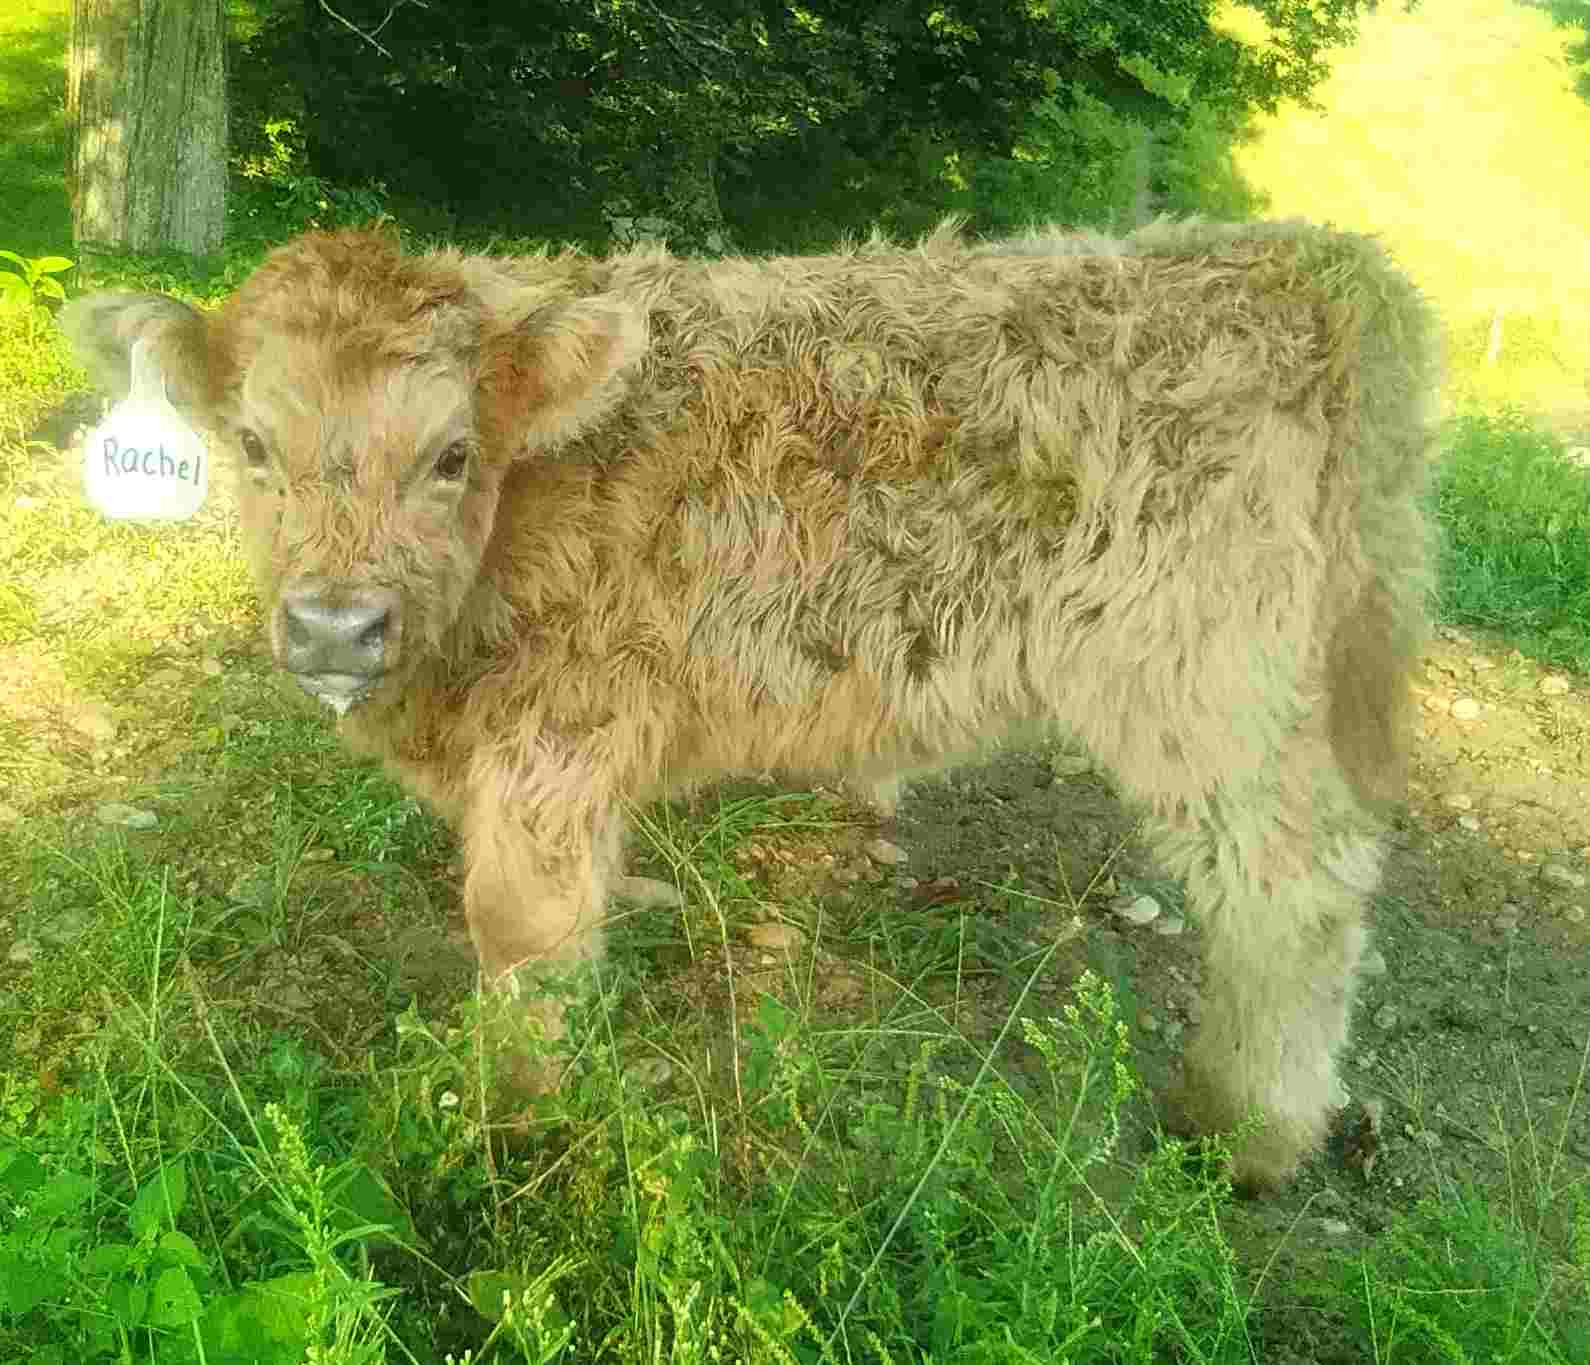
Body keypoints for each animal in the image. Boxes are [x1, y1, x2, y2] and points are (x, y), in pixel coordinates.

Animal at [62, 218, 1439, 1189]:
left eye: (453, 456)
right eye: (250, 446)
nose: (336, 626)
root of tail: (1305, 261)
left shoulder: (550, 748)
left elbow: (521, 935)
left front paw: (514, 1124)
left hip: (1212, 685)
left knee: (1294, 896)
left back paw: (1243, 1132)